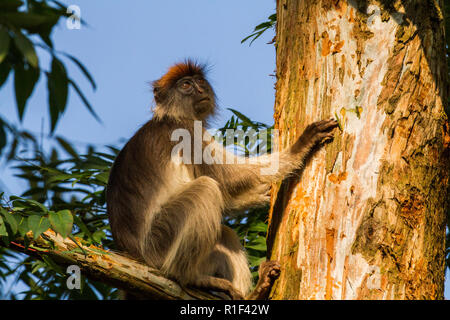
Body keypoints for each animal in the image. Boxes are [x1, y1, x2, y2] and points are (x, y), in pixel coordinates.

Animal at [106, 60, 338, 300]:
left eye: (200, 81)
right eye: (186, 85)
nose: (200, 90)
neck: (171, 116)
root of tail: (135, 254)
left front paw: (262, 195)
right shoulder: (187, 133)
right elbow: (226, 178)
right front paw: (302, 144)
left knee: (224, 232)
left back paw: (255, 292)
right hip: (158, 244)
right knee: (206, 189)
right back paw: (189, 277)